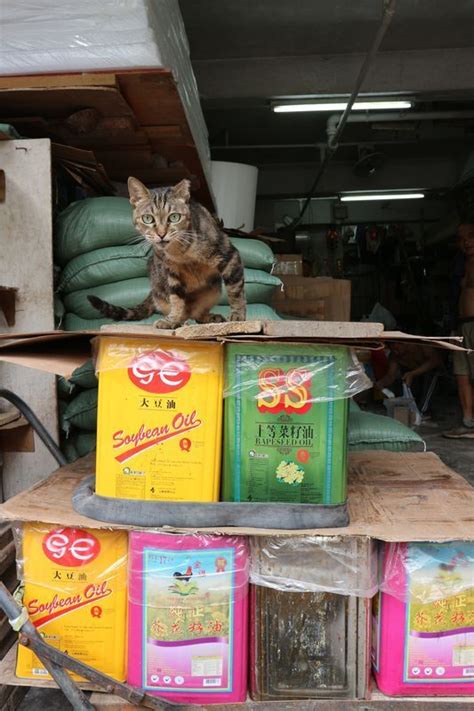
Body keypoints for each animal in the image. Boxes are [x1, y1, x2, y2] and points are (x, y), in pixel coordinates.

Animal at [86, 181, 246, 330]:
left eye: (174, 217)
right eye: (148, 218)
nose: (161, 234)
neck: (180, 252)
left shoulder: (229, 256)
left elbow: (235, 291)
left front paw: (237, 316)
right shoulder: (172, 274)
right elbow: (176, 300)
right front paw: (172, 321)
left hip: (214, 290)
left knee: (198, 314)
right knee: (188, 313)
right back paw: (183, 321)